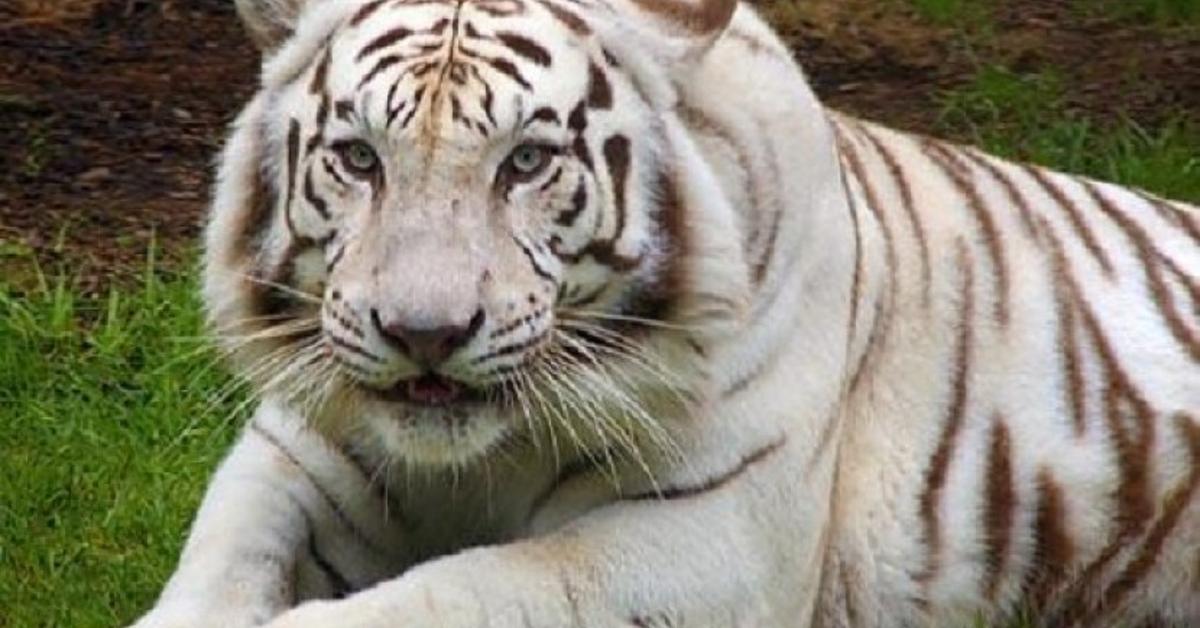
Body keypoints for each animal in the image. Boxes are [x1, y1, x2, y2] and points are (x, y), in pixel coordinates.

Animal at [131, 1, 1200, 628]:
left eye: (527, 162)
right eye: (360, 158)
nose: (424, 334)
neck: (477, 461)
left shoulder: (709, 541)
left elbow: (454, 590)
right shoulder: (296, 455)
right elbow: (218, 562)